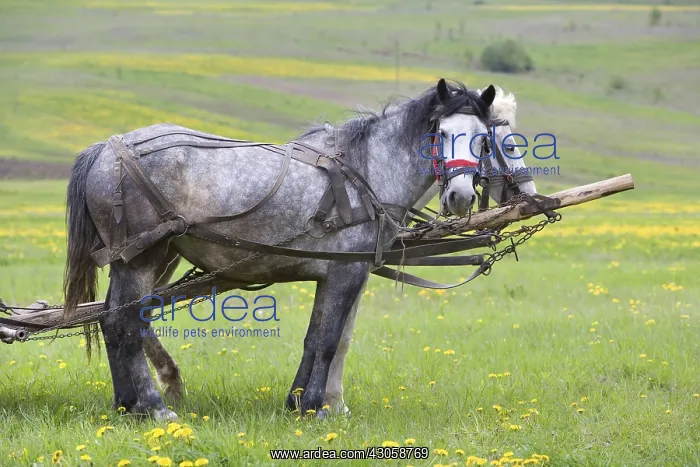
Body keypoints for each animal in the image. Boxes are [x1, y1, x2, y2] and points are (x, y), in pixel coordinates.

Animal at [62, 78, 533, 420]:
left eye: (483, 140)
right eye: (441, 133)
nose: (459, 196)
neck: (366, 170)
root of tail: (106, 150)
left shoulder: (338, 272)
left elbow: (321, 338)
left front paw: (301, 401)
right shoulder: (347, 272)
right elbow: (328, 341)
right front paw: (316, 408)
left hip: (145, 260)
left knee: (114, 320)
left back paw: (127, 404)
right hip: (144, 257)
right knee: (124, 323)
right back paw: (153, 407)